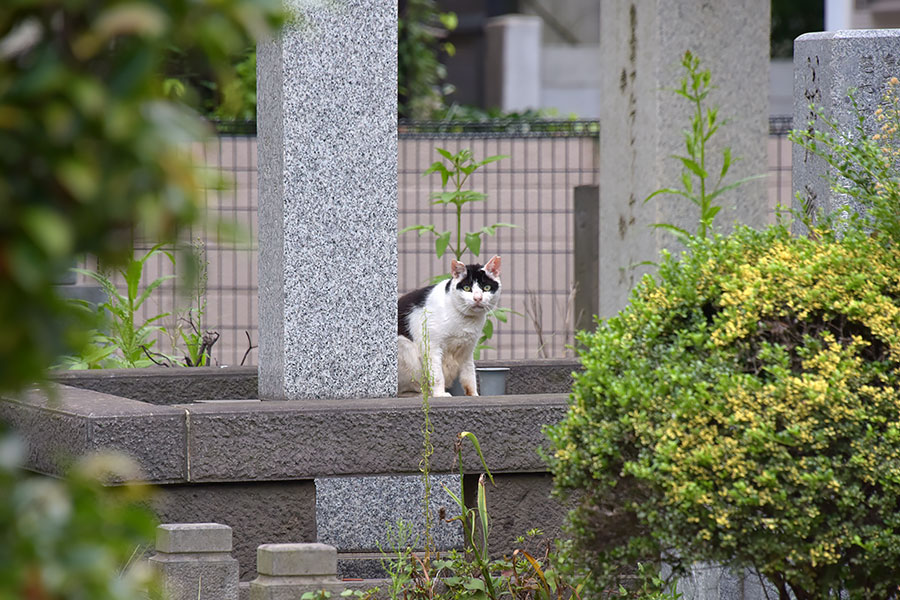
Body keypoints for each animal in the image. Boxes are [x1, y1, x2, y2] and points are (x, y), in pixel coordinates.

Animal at [400, 255, 502, 396]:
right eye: (467, 288)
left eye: (486, 288)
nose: (477, 298)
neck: (466, 320)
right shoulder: (431, 347)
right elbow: (437, 375)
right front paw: (440, 395)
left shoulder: (468, 349)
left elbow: (469, 374)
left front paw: (473, 395)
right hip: (406, 347)